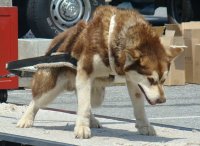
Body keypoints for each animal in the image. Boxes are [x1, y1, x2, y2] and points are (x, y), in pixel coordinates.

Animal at [16, 6, 184, 138]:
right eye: (151, 80)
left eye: (163, 80)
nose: (162, 100)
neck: (113, 38)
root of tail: (58, 39)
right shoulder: (85, 71)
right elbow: (84, 105)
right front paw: (82, 128)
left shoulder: (132, 79)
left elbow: (138, 105)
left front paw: (144, 126)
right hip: (51, 88)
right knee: (38, 100)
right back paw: (26, 119)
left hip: (96, 92)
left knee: (87, 98)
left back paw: (92, 120)